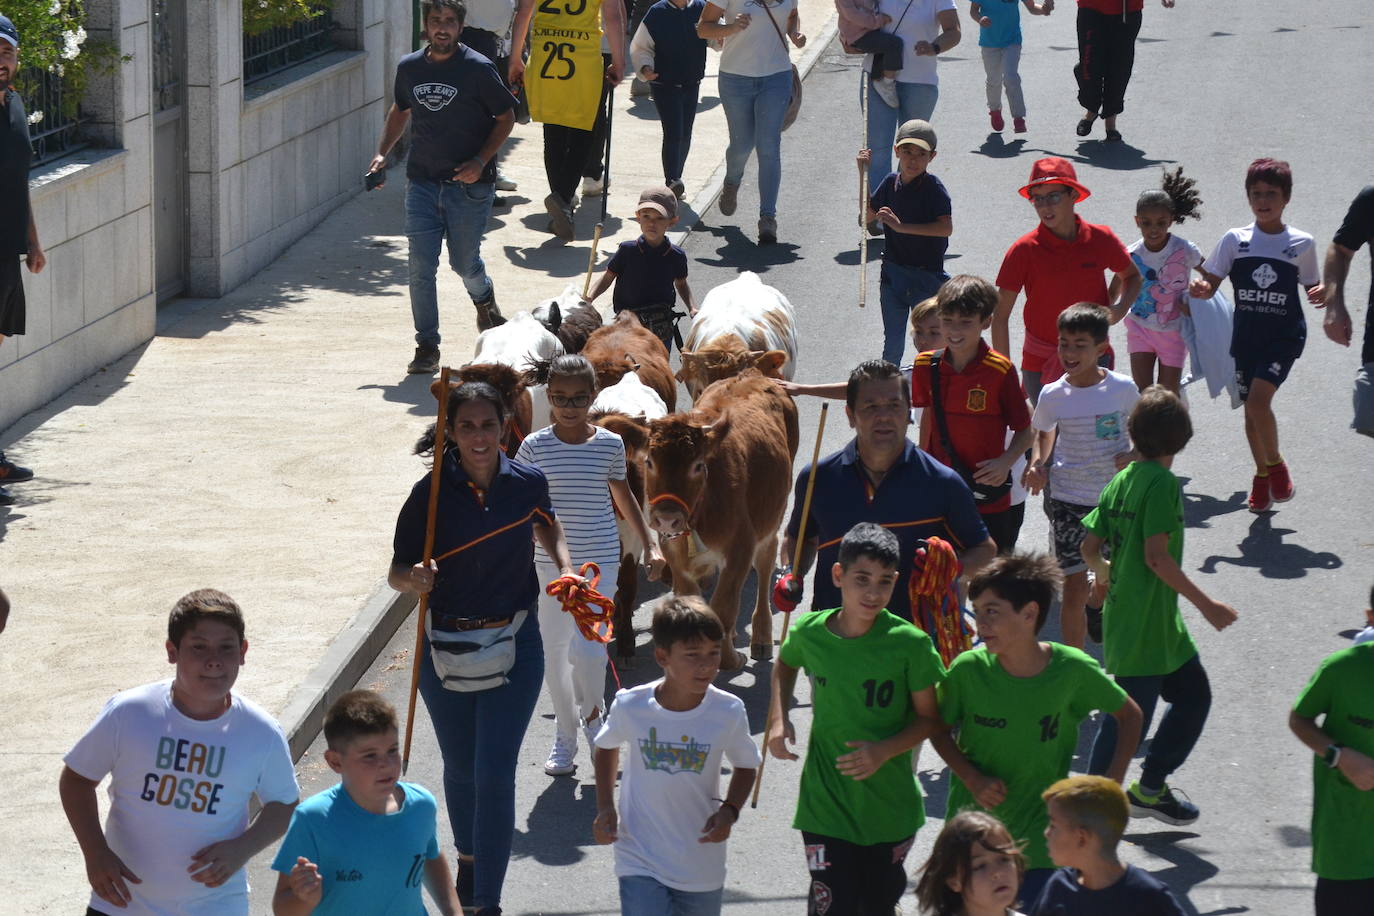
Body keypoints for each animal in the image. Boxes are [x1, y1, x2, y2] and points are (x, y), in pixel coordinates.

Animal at [604, 368, 802, 670]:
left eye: (698, 465)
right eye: (649, 461)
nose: (667, 519)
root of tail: (752, 374)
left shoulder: (740, 549)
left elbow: (724, 608)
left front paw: (729, 658)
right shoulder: (675, 556)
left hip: (771, 517)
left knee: (766, 562)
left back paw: (761, 636)